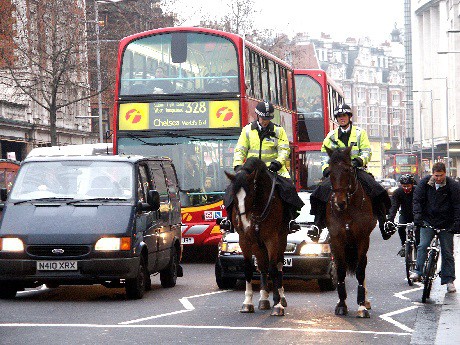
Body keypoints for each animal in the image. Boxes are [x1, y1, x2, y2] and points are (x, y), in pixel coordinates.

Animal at [226, 157, 288, 316]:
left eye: (251, 193)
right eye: (233, 195)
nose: (244, 223)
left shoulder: (272, 239)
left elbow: (273, 269)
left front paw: (278, 304)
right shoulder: (245, 240)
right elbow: (249, 268)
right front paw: (248, 302)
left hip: (281, 239)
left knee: (278, 266)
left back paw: (281, 296)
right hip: (257, 243)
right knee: (262, 266)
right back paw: (264, 299)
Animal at [326, 146, 376, 318]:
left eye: (348, 170)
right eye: (329, 171)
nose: (339, 202)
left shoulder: (362, 239)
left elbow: (360, 270)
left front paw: (361, 305)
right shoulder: (336, 240)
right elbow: (340, 269)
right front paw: (341, 304)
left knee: (364, 265)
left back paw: (365, 301)